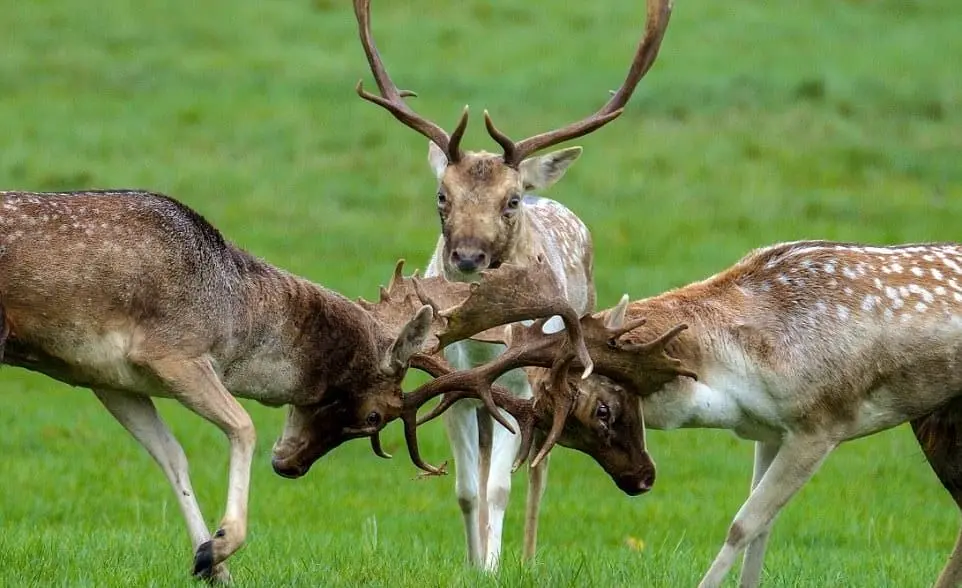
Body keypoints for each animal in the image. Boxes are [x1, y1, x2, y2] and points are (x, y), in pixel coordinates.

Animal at [348, 0, 672, 568]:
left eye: (511, 199)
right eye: (442, 195)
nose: (468, 256)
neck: (481, 351)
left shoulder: (521, 389)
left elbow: (501, 487)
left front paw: (495, 566)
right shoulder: (455, 391)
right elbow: (466, 491)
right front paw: (473, 562)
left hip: (564, 366)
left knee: (540, 468)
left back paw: (527, 553)